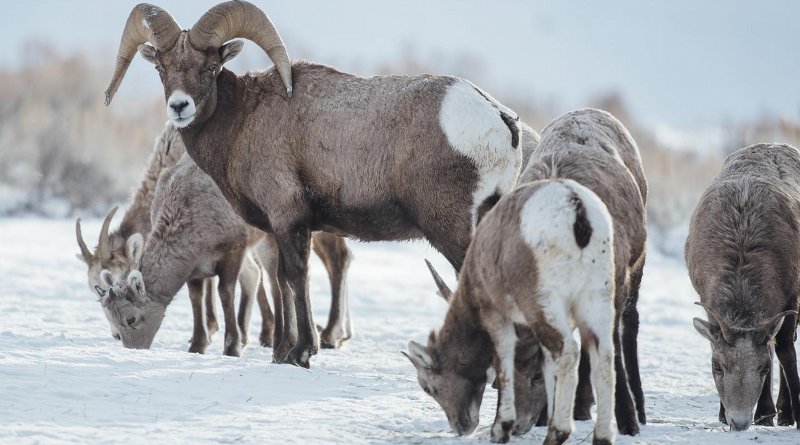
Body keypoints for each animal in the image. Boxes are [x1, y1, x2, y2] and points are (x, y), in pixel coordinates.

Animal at [103, 1, 520, 366]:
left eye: (210, 67)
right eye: (162, 68)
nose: (179, 106)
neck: (243, 121)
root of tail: (499, 119)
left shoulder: (289, 220)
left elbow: (296, 277)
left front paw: (302, 352)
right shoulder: (276, 228)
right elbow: (282, 281)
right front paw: (281, 353)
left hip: (449, 228)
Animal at [404, 180, 616, 444]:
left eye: (428, 387)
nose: (461, 427)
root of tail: (577, 209)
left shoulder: (495, 313)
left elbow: (503, 358)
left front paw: (499, 428)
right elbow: (546, 365)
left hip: (543, 302)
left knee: (567, 350)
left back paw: (557, 432)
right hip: (596, 298)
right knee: (604, 355)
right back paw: (602, 436)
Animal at [684, 143, 800, 430]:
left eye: (762, 368)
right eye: (717, 366)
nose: (738, 421)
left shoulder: (791, 297)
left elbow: (785, 352)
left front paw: (791, 414)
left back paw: (781, 413)